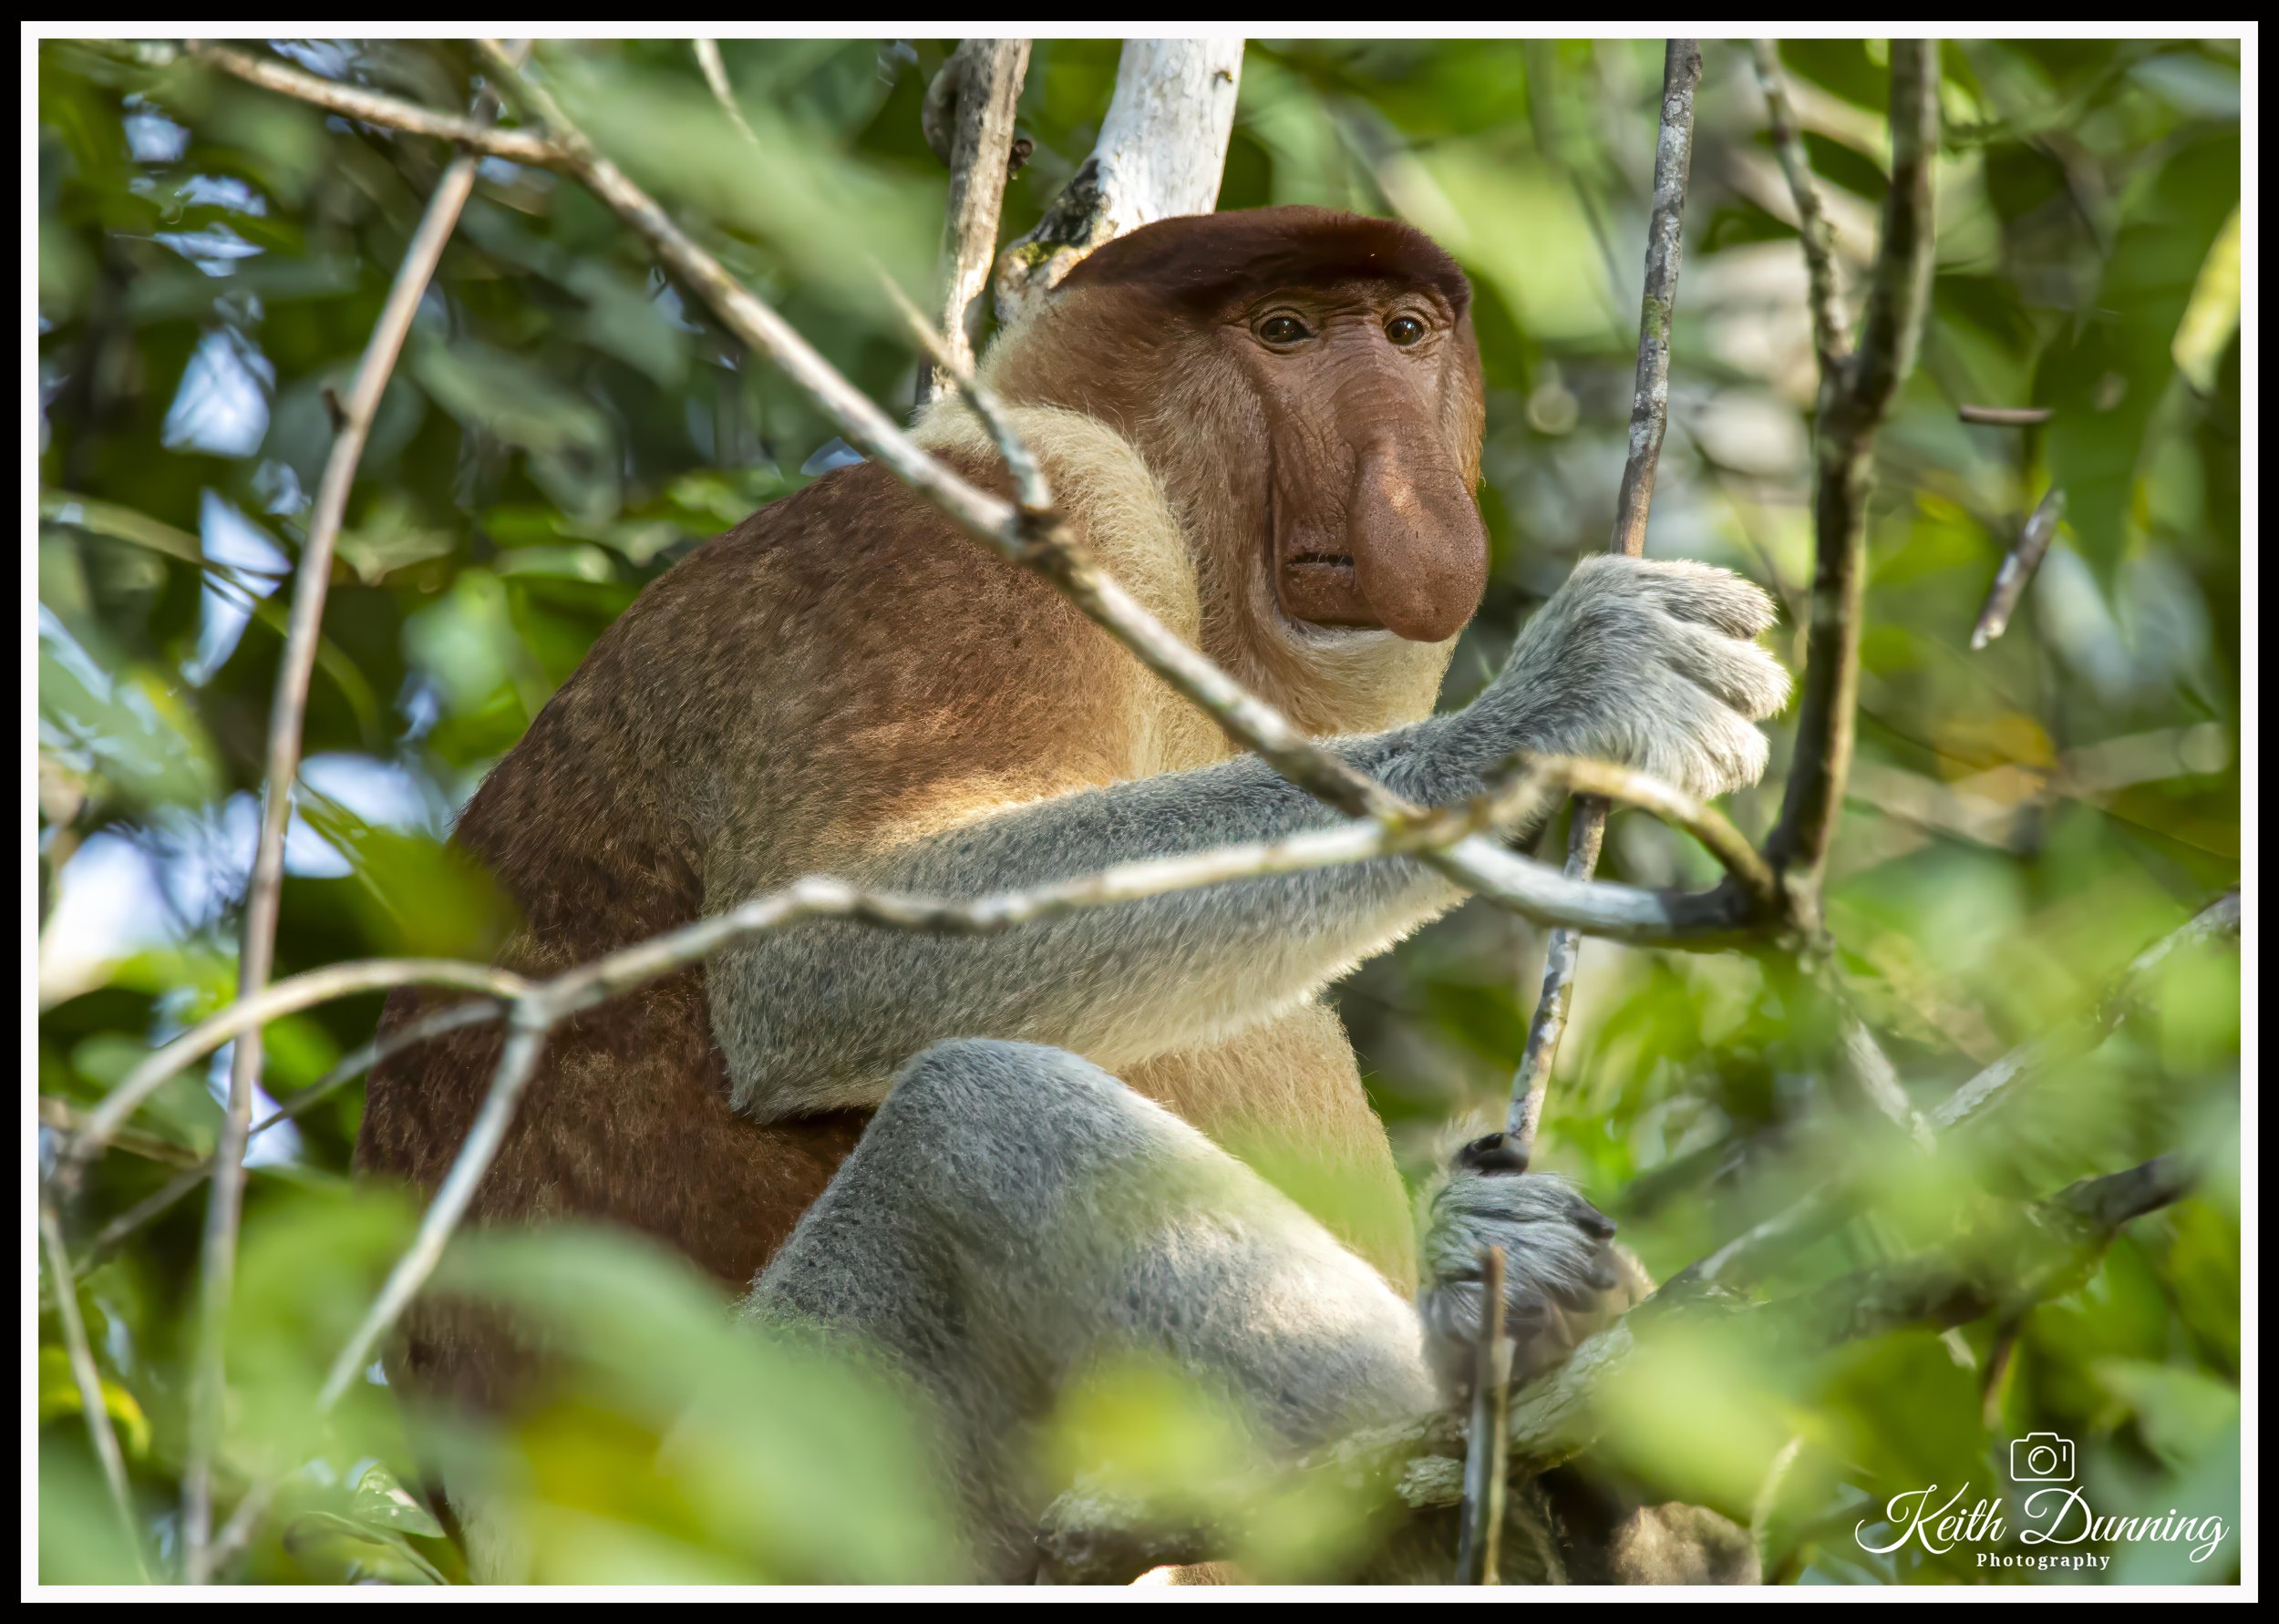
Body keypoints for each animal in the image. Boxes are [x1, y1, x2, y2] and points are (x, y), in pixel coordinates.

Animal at [354, 205, 1787, 1581]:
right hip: (775, 1489)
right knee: (968, 1115)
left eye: (1404, 331)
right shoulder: (998, 515)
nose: (1410, 493)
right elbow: (827, 958)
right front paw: (1569, 695)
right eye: (1283, 331)